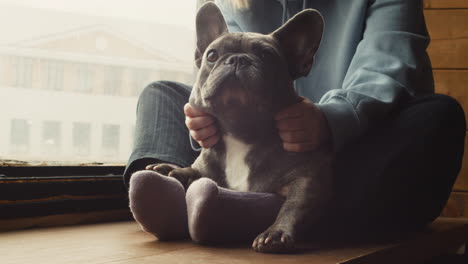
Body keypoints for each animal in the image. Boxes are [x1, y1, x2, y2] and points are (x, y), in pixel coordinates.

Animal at [155, 2, 330, 254]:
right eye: (212, 55)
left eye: (267, 55)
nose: (238, 59)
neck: (240, 131)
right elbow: (196, 170)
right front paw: (176, 171)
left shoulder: (306, 180)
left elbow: (294, 205)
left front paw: (275, 233)